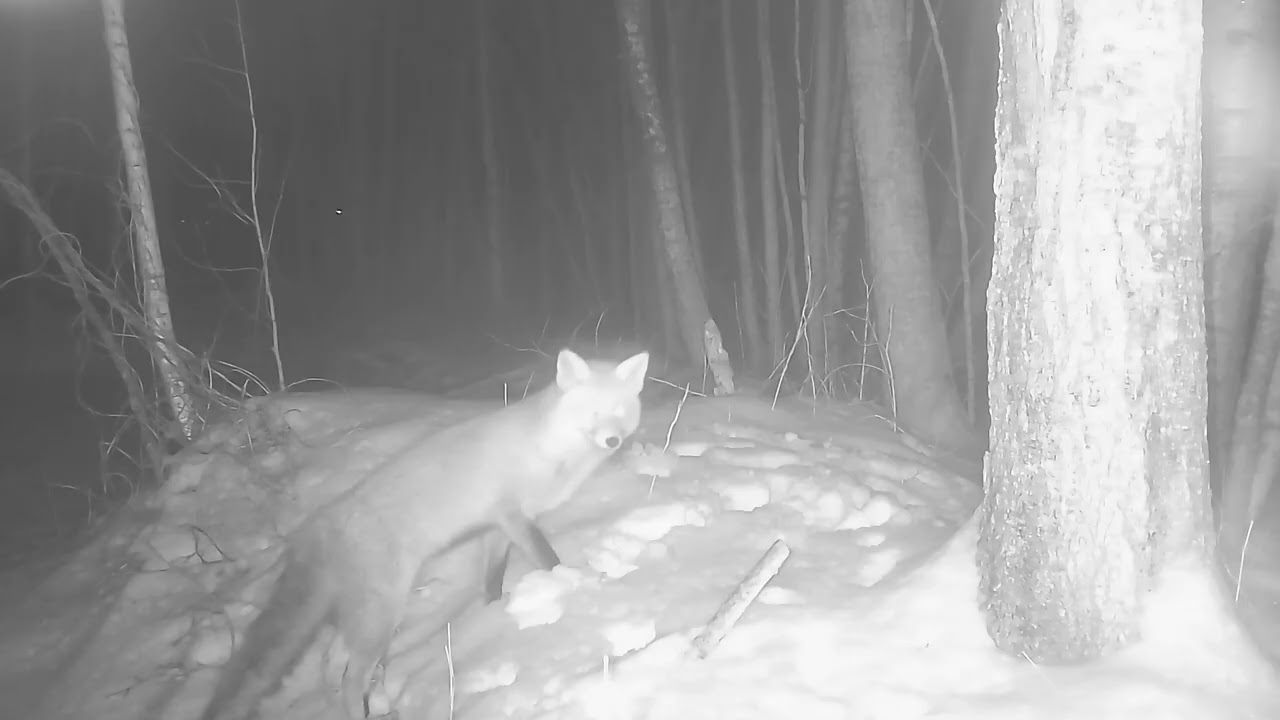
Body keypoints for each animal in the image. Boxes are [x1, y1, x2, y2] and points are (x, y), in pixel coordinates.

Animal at [201, 348, 649, 720]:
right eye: (592, 413)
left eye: (620, 411)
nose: (613, 440)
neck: (552, 451)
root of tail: (319, 526)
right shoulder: (513, 515)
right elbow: (549, 560)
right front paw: (573, 584)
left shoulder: (496, 527)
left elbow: (492, 582)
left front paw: (492, 615)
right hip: (381, 616)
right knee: (351, 678)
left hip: (367, 617)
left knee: (331, 661)